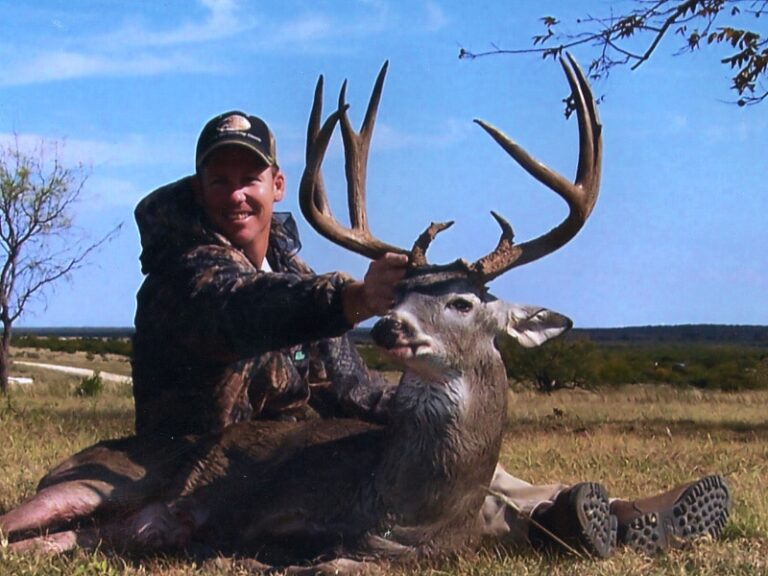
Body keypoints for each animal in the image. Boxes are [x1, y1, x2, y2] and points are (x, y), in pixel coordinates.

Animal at [0, 55, 600, 574]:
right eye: (397, 294)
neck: (407, 507)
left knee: (55, 540)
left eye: (462, 302)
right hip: (97, 483)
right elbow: (293, 553)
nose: (389, 327)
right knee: (18, 524)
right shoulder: (272, 507)